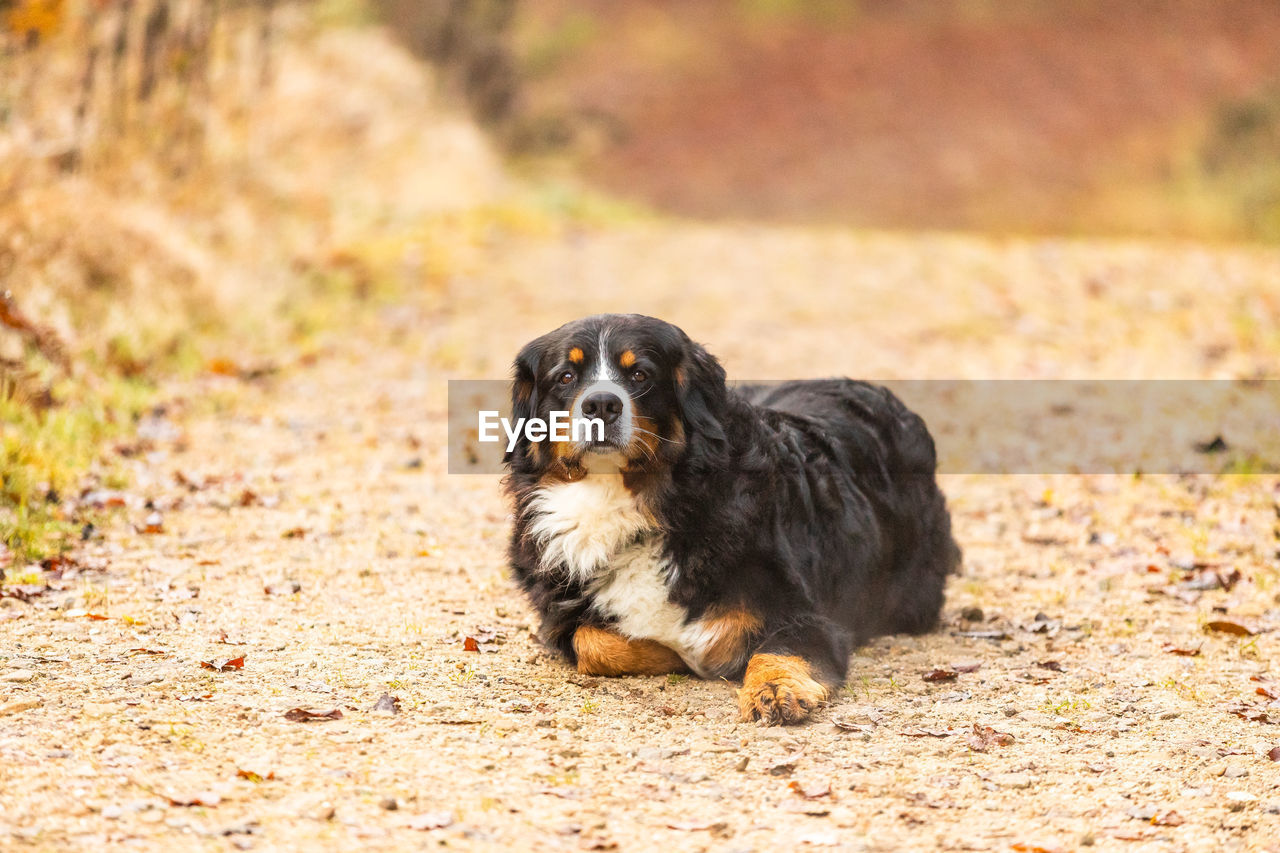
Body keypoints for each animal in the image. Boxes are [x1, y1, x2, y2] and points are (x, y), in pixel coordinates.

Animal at [499, 312, 962, 722]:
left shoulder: (809, 619)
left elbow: (776, 651)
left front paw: (775, 688)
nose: (601, 403)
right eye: (565, 377)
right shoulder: (559, 613)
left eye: (641, 375)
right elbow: (592, 642)